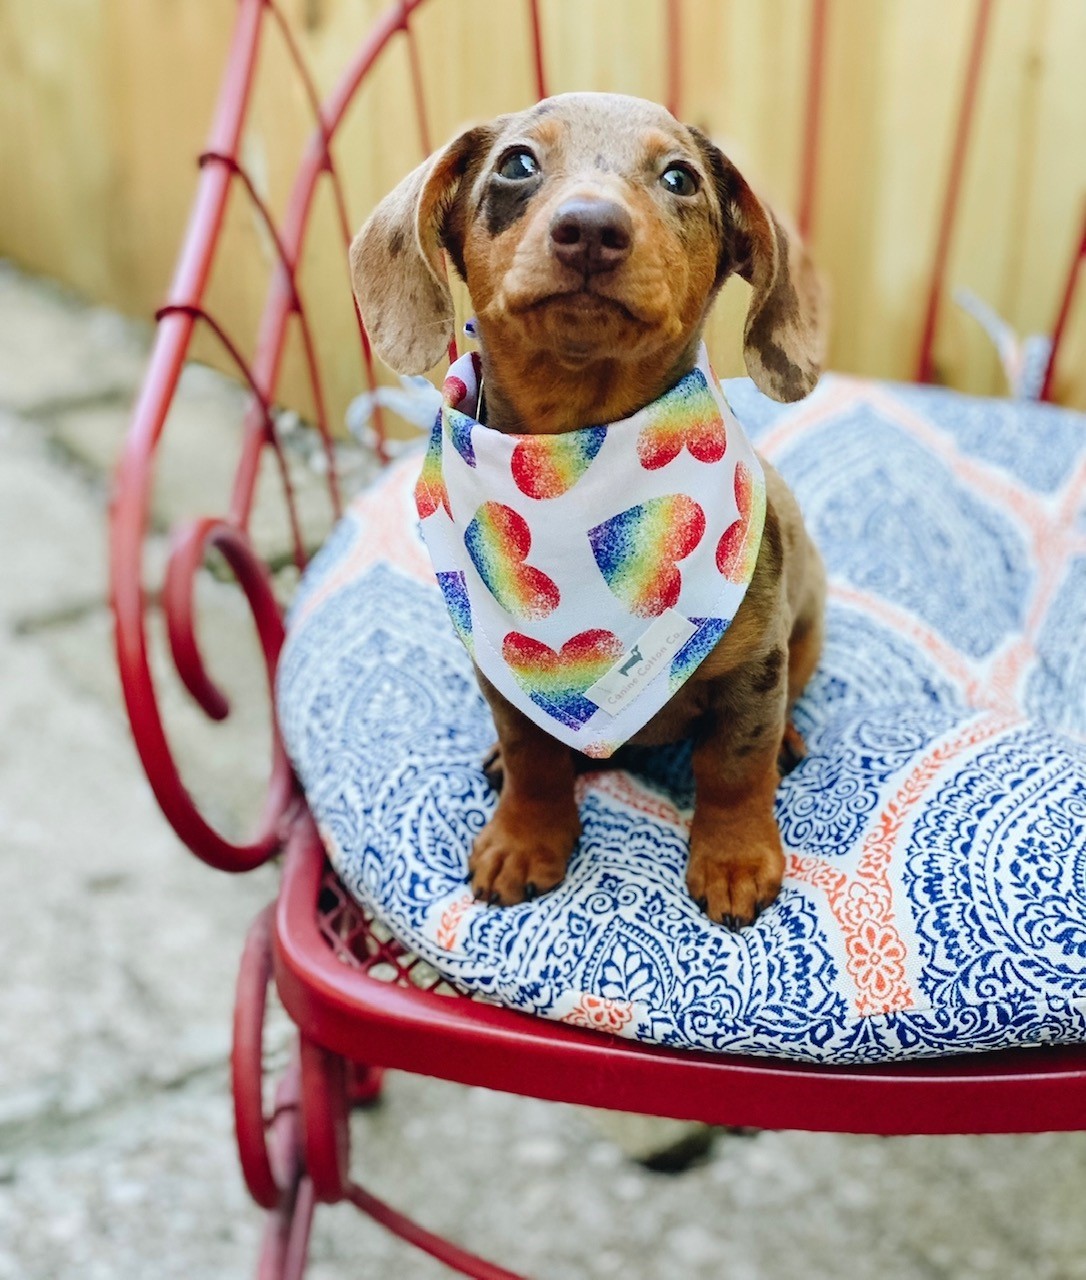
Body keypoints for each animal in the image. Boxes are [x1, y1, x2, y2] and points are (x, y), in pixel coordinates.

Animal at [350, 92, 824, 931]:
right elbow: (534, 758)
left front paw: (735, 858)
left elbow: (735, 766)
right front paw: (524, 836)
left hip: (806, 629)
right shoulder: (503, 674)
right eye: (516, 163)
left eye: (680, 177)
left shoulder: (751, 670)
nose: (593, 228)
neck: (577, 449)